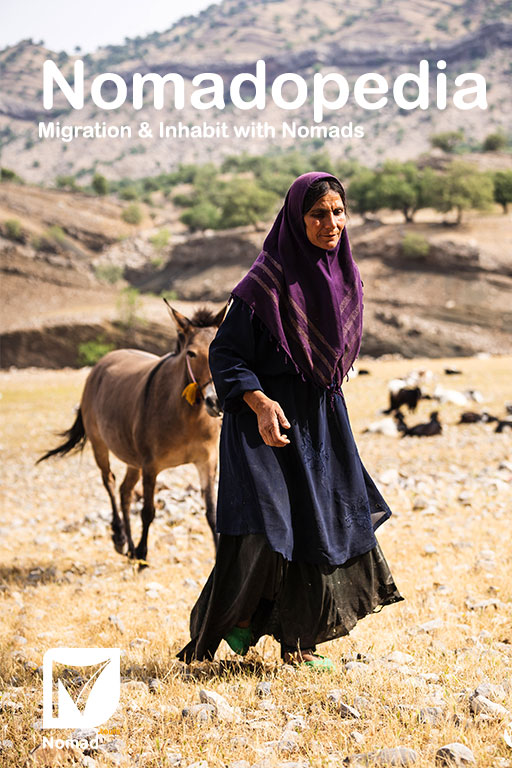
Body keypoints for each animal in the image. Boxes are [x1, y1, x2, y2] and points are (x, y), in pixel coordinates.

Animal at [38, 301, 226, 563]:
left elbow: (212, 514)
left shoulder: (206, 462)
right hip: (101, 446)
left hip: (132, 460)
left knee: (125, 491)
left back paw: (128, 547)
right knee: (109, 481)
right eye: (191, 353)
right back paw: (120, 538)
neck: (187, 417)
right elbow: (148, 511)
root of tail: (105, 360)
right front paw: (143, 554)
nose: (215, 401)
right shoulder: (150, 466)